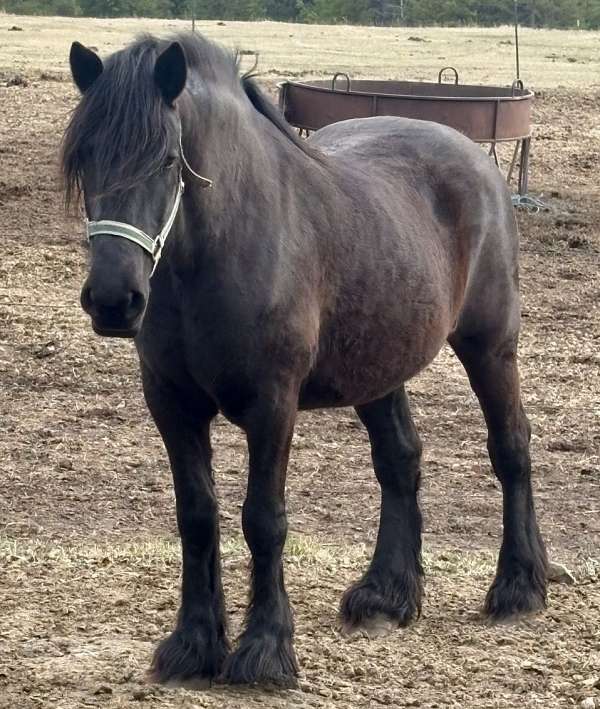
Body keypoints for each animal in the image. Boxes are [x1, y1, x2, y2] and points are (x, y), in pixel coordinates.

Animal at [61, 32, 548, 687]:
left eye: (166, 159)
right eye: (86, 157)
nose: (114, 301)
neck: (220, 250)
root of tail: (474, 157)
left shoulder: (273, 404)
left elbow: (263, 519)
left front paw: (264, 650)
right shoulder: (171, 402)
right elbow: (196, 516)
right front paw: (193, 644)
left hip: (490, 346)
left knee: (510, 447)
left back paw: (519, 586)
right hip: (378, 366)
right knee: (400, 459)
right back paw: (386, 594)